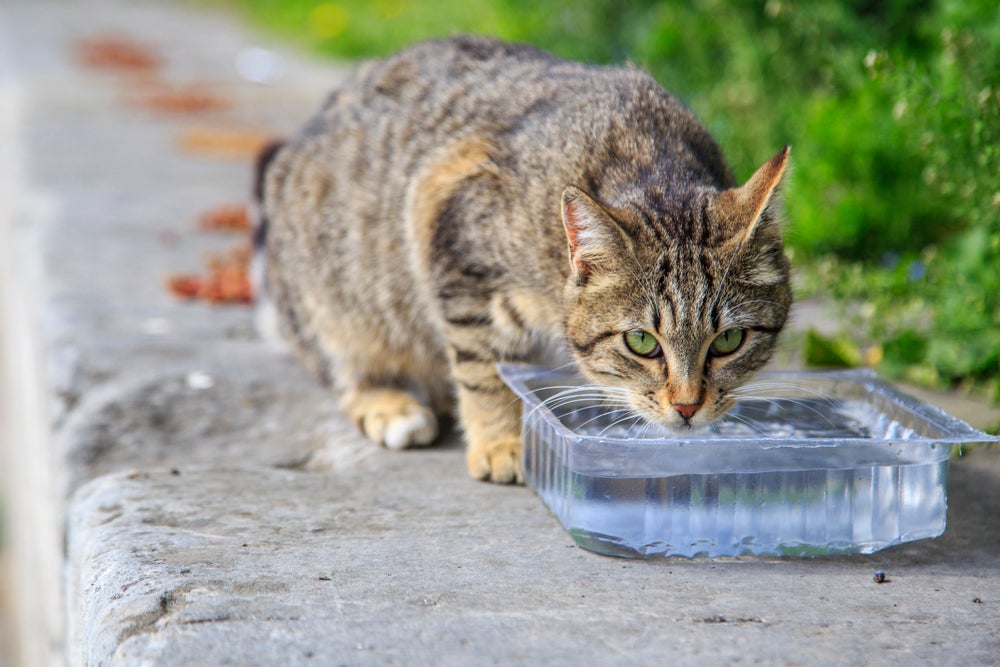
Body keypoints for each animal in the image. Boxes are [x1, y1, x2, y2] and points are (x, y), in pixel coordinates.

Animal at [254, 35, 792, 486]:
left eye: (729, 341)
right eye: (641, 342)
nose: (686, 407)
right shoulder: (453, 237)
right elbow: (484, 368)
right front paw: (503, 441)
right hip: (336, 301)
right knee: (346, 369)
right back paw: (390, 403)